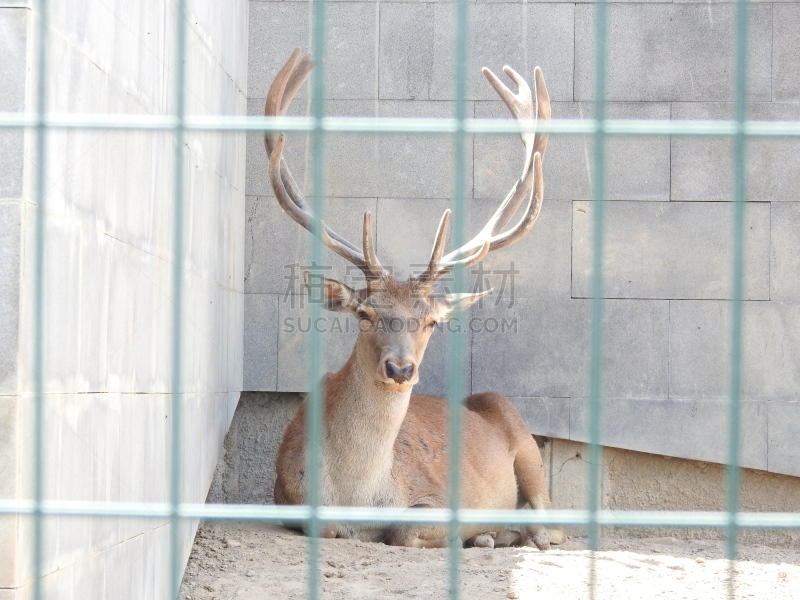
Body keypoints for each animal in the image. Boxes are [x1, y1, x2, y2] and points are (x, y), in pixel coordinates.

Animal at [266, 49, 564, 552]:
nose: (401, 369)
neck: (357, 497)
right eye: (364, 313)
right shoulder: (283, 493)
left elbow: (403, 531)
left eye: (431, 322)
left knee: (548, 525)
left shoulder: (436, 497)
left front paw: (465, 534)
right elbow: (326, 526)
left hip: (521, 434)